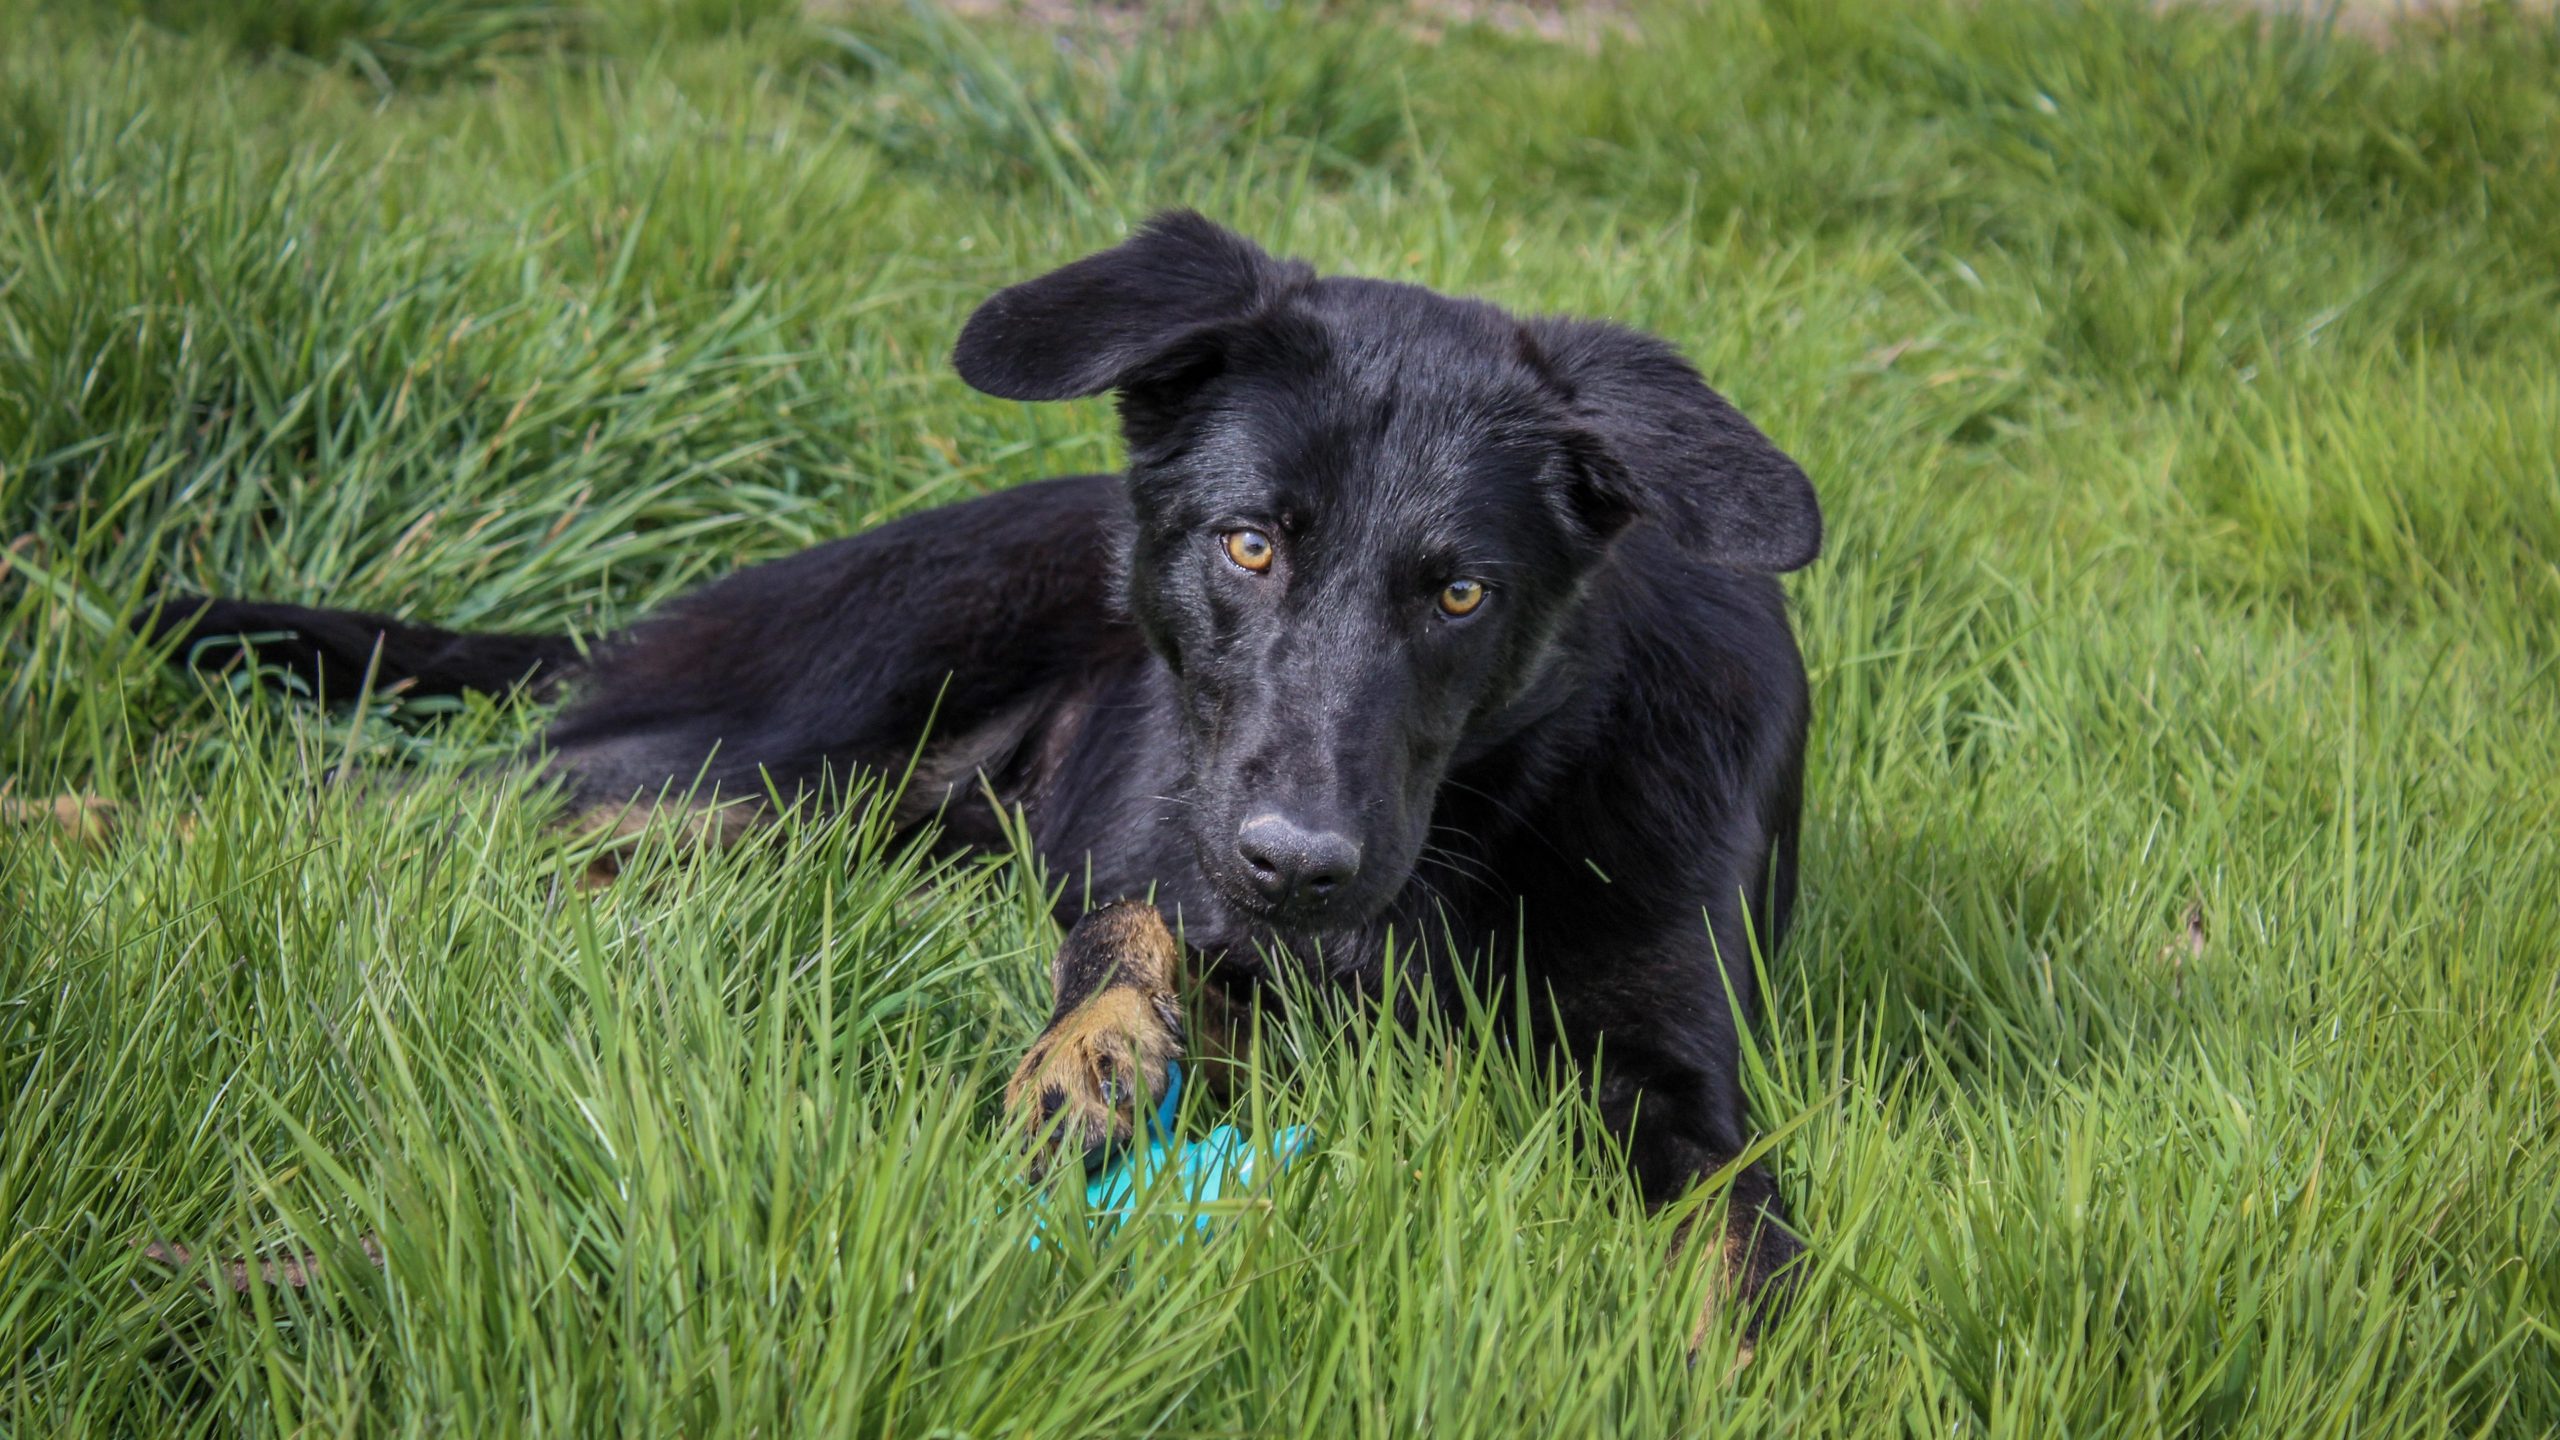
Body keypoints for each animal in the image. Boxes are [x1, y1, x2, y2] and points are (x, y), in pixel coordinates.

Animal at [154, 212, 1822, 1332]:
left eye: (1463, 595)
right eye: (1249, 545)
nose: (1294, 866)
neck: (1484, 816)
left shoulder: (1679, 1073)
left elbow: (1736, 1248)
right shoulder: (1175, 847)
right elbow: (1128, 932)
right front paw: (1089, 1056)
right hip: (785, 748)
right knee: (408, 801)